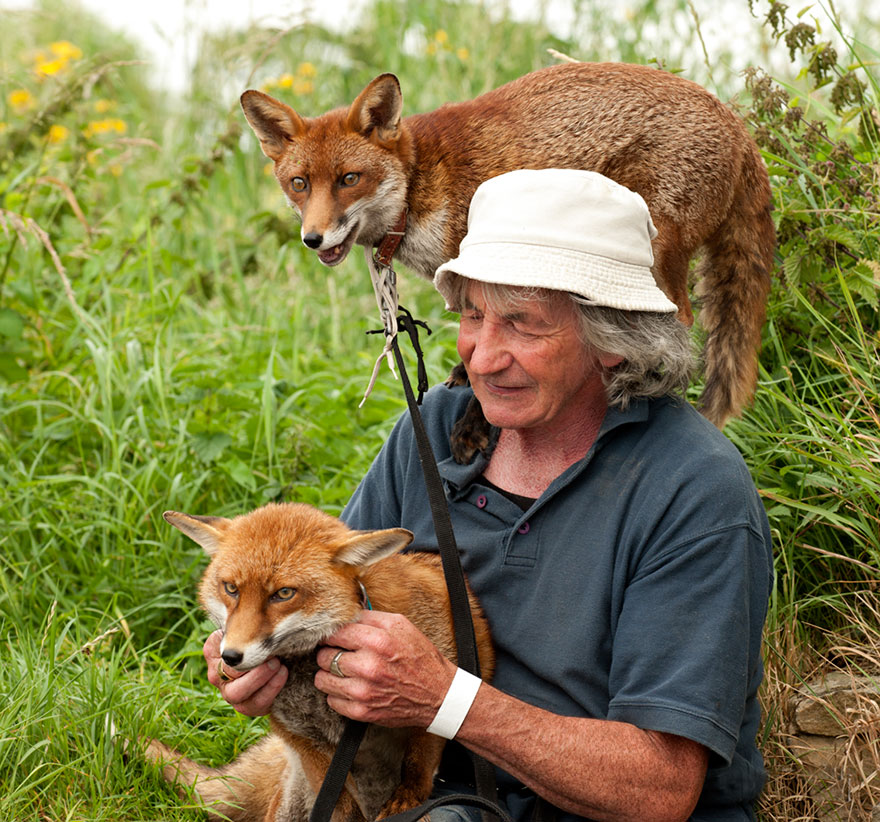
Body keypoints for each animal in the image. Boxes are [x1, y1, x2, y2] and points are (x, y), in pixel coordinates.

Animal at [144, 502, 494, 822]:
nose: (229, 657)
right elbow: (340, 807)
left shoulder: (439, 687)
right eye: (231, 588)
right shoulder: (303, 740)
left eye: (284, 593)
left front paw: (407, 803)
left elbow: (419, 761)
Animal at [240, 62, 775, 456]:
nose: (312, 238)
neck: (420, 185)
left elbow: (493, 353)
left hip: (655, 250)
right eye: (299, 184)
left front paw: (474, 425)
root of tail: (741, 128)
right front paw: (464, 381)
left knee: (676, 323)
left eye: (349, 179)